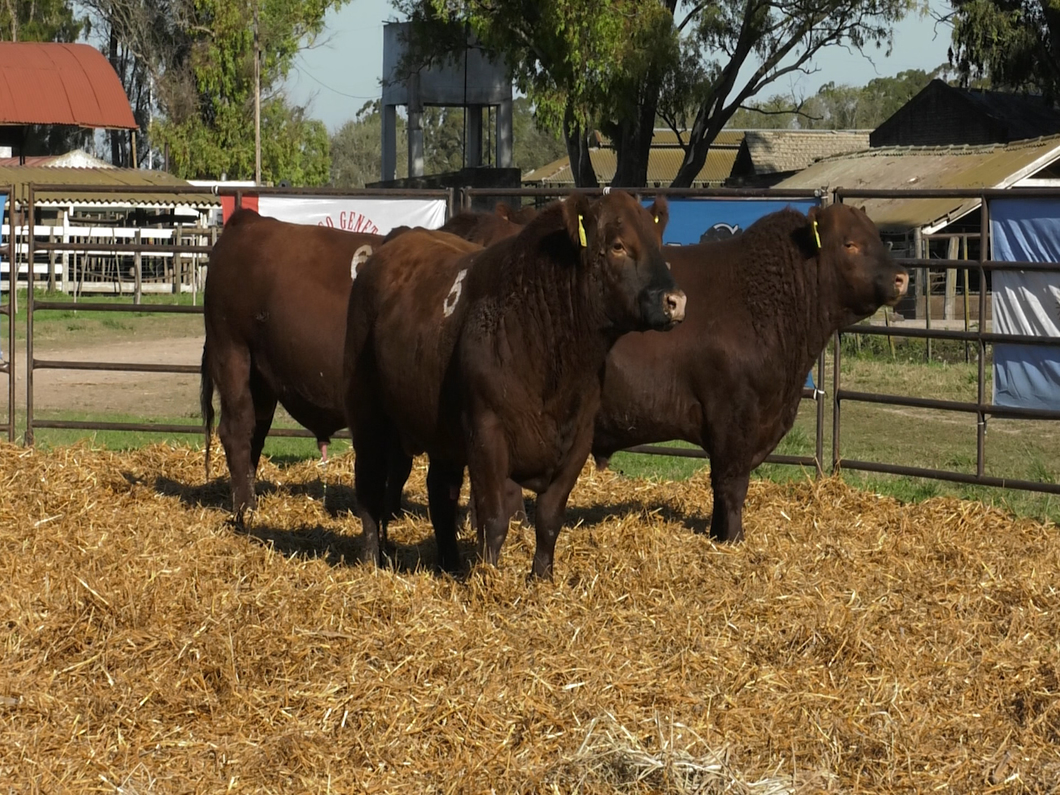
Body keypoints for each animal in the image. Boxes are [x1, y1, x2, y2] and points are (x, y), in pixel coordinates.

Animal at [201, 206, 532, 524]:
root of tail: (248, 222)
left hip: (260, 378)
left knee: (255, 432)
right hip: (232, 353)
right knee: (237, 430)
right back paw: (245, 509)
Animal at [343, 191, 686, 579]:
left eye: (657, 242)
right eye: (617, 245)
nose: (675, 301)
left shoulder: (578, 439)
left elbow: (549, 519)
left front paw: (542, 578)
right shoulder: (487, 434)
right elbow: (494, 518)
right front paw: (490, 579)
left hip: (440, 433)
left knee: (441, 492)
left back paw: (449, 564)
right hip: (367, 414)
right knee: (369, 486)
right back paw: (371, 559)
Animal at [591, 202, 910, 543]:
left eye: (877, 236)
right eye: (850, 244)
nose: (901, 277)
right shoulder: (733, 414)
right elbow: (731, 484)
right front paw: (733, 539)